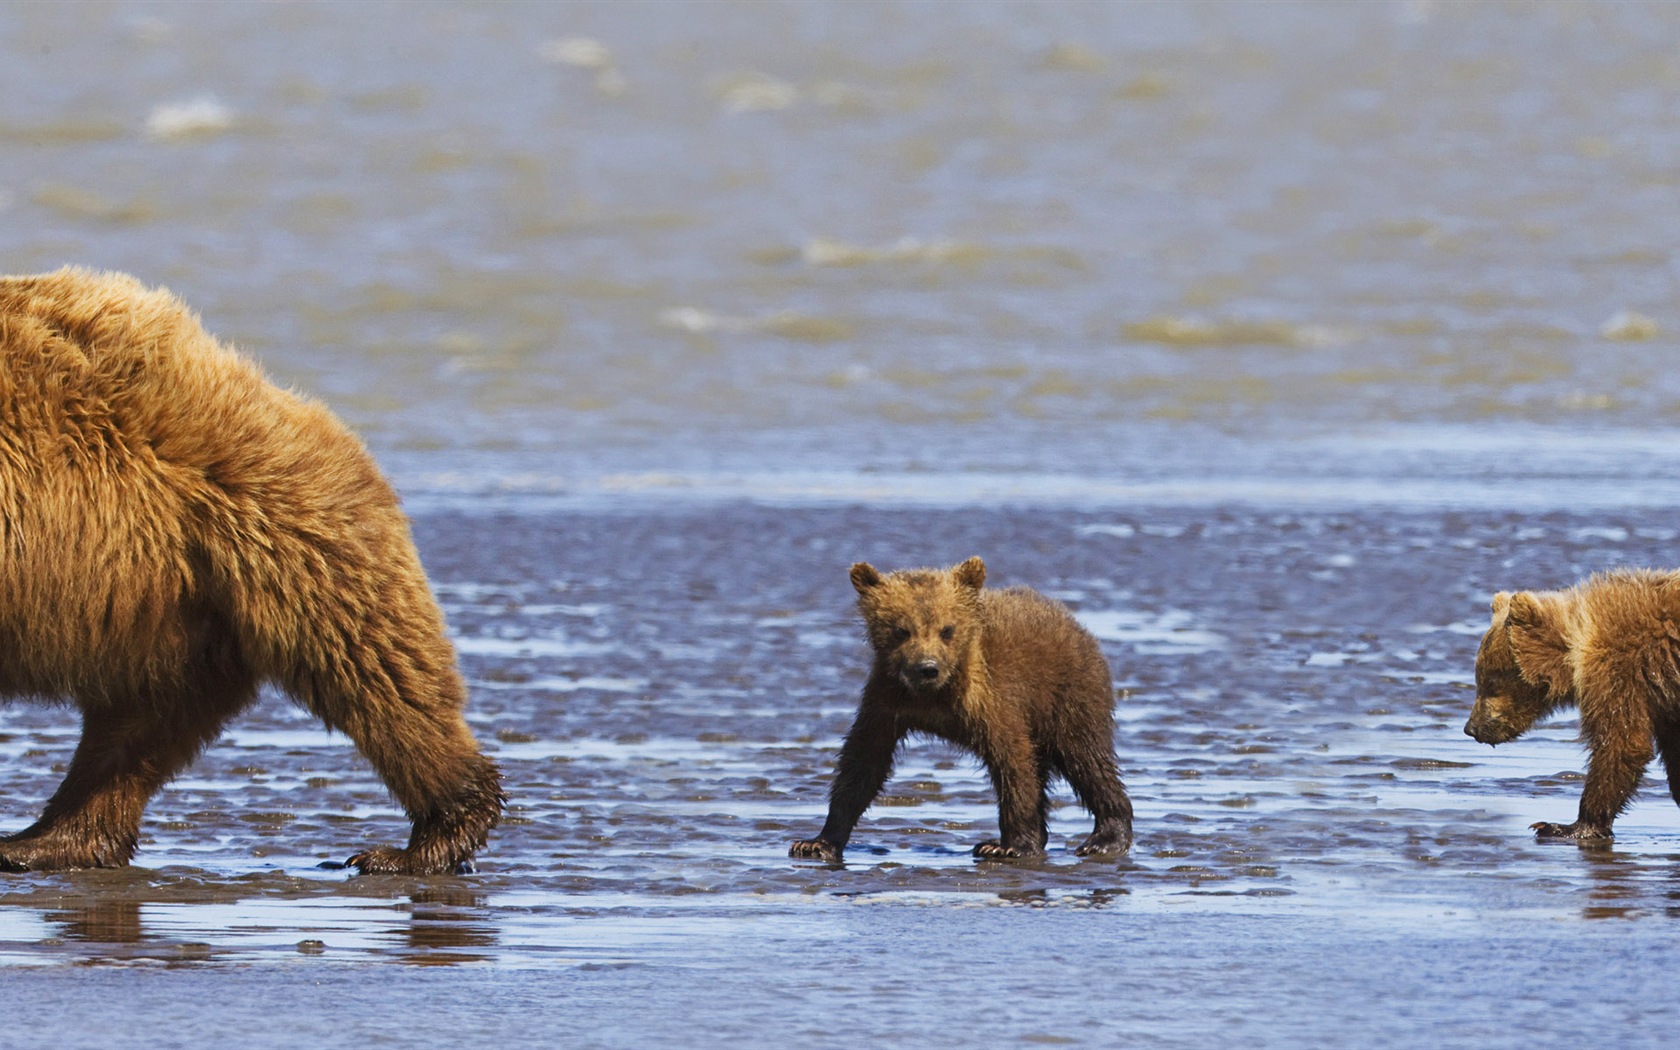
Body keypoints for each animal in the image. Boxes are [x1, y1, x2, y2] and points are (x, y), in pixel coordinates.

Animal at [0, 265, 500, 873]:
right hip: (171, 603)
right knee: (141, 722)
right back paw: (49, 837)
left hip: (266, 528)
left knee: (377, 670)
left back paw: (420, 840)